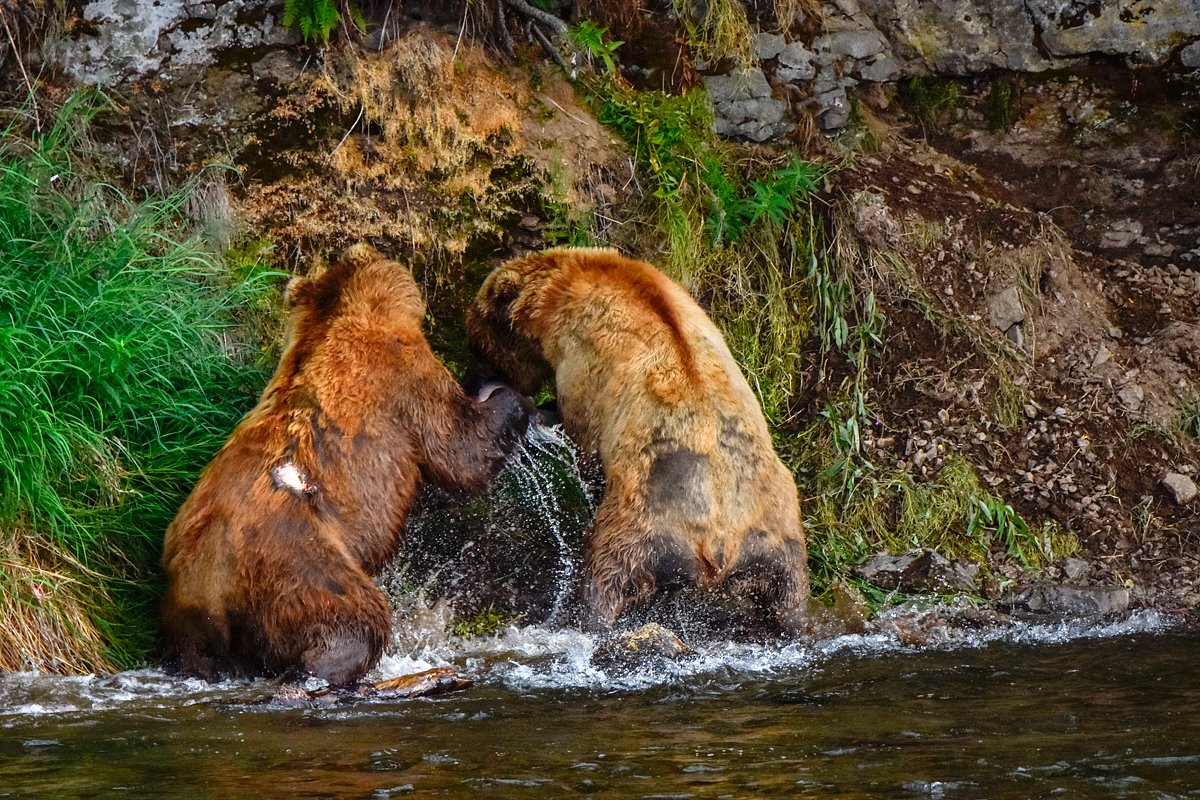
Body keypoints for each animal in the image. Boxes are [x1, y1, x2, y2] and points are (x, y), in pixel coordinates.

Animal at [160, 241, 530, 686]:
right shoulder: (403, 376)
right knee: (355, 618)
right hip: (301, 562)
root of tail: (214, 585)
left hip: (187, 617)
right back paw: (328, 668)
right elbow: (461, 446)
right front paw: (512, 398)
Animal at [463, 244, 811, 633]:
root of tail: (718, 540)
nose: (470, 379)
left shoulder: (585, 368)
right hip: (777, 534)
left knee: (606, 571)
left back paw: (584, 614)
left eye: (477, 343)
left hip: (644, 520)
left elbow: (583, 441)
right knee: (789, 599)